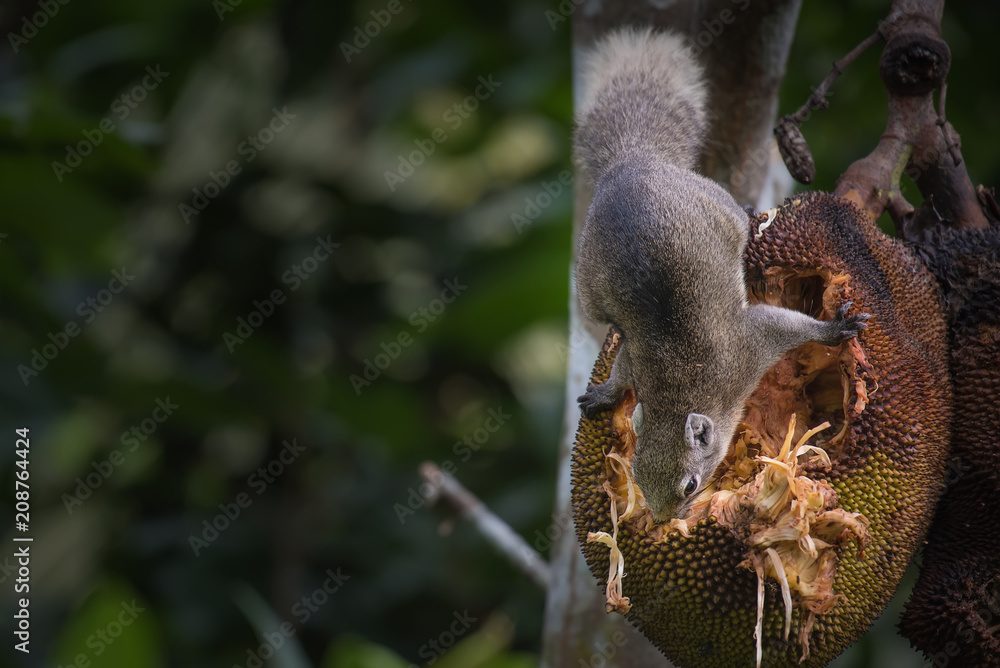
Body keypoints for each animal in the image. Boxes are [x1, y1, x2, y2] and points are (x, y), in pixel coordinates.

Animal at [574, 28, 869, 522]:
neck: (678, 394)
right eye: (637, 476)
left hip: (714, 202)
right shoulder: (638, 358)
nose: (665, 520)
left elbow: (786, 325)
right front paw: (607, 393)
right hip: (589, 285)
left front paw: (835, 327)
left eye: (691, 484)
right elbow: (621, 369)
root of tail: (633, 164)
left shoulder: (749, 348)